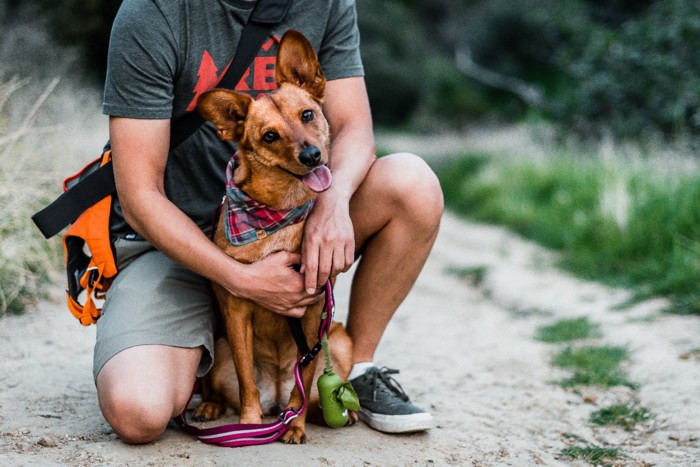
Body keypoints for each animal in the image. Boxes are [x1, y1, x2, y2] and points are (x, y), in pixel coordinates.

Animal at [191, 30, 356, 446]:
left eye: (307, 115)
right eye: (269, 136)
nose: (312, 156)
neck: (278, 215)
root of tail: (276, 396)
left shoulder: (315, 313)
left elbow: (307, 377)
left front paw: (295, 426)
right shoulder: (236, 311)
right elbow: (246, 378)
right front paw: (248, 424)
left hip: (339, 342)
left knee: (310, 391)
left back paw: (329, 413)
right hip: (218, 352)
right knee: (222, 388)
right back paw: (212, 407)